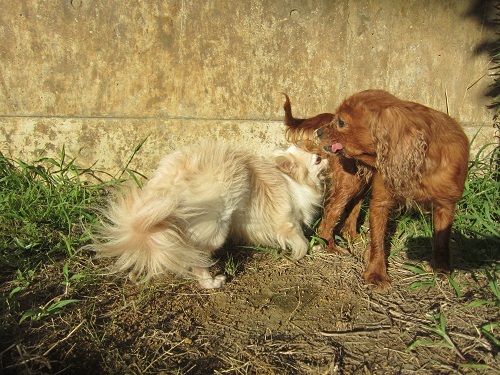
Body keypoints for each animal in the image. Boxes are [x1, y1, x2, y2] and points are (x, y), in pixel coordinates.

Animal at [92, 140, 328, 290]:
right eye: (317, 159)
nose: (329, 152)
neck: (293, 180)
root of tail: (171, 181)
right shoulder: (288, 222)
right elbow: (300, 239)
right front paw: (309, 250)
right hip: (216, 226)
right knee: (198, 260)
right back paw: (211, 283)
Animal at [286, 90, 468, 290]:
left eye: (341, 122)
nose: (319, 131)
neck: (420, 165)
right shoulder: (381, 202)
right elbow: (378, 241)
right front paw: (376, 274)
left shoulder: (446, 205)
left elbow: (442, 240)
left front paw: (442, 270)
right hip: (350, 182)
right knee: (331, 212)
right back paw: (329, 245)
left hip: (361, 182)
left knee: (353, 206)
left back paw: (350, 234)